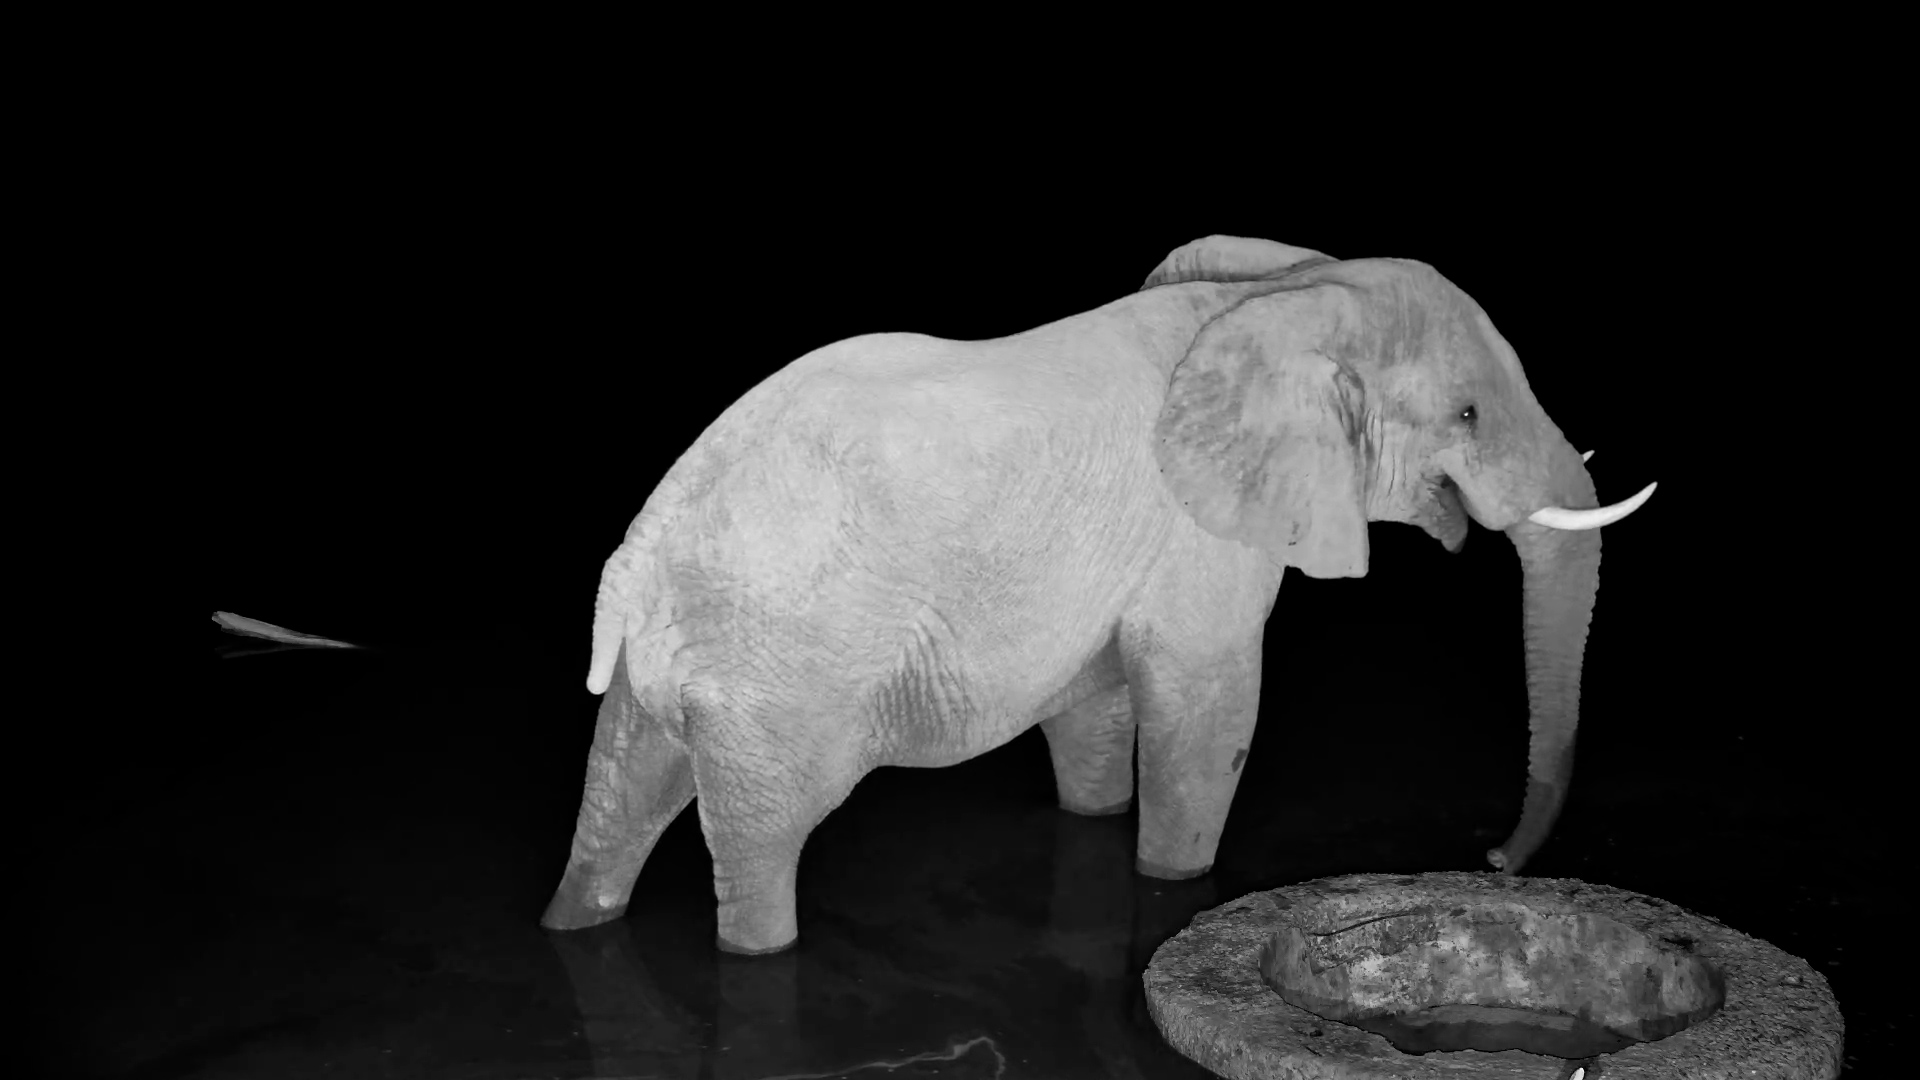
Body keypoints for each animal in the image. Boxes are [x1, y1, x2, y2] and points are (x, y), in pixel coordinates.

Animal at [541, 235, 1656, 954]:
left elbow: (1101, 703)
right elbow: (1211, 714)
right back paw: (759, 953)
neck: (1286, 292)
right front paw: (1176, 885)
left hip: (681, 669)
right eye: (1467, 414)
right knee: (764, 841)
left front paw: (1100, 814)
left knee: (620, 792)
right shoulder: (1198, 545)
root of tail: (639, 555)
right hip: (782, 677)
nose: (1496, 860)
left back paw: (574, 921)